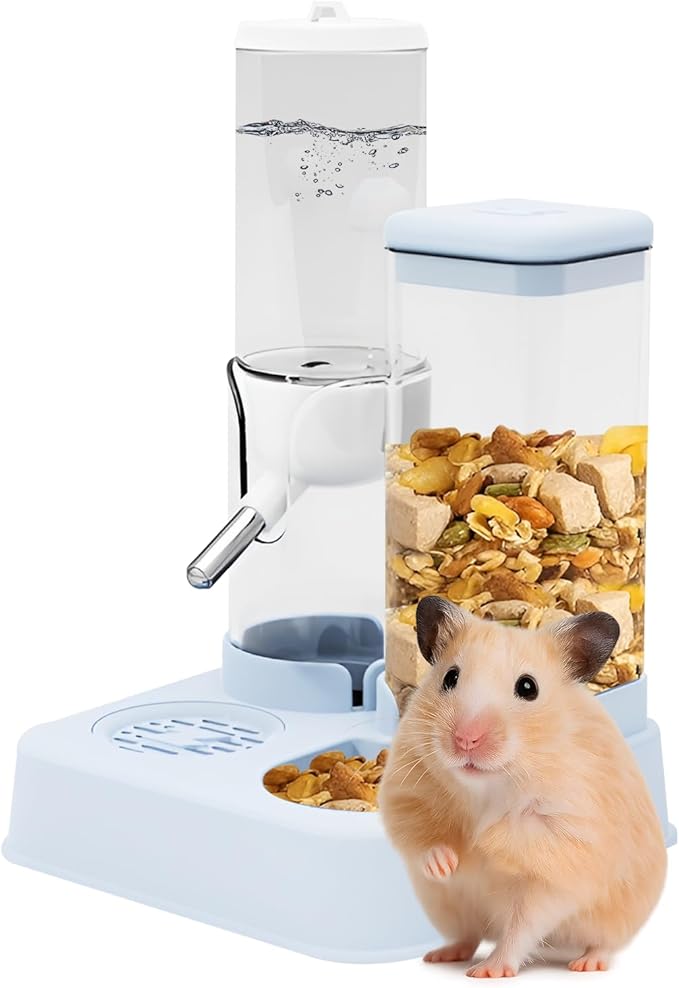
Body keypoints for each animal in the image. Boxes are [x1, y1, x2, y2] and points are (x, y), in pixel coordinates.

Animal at [380, 596, 667, 978]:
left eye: (528, 687)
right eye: (450, 677)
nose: (465, 740)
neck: (490, 786)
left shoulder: (562, 856)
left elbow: (522, 916)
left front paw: (486, 843)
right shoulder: (408, 790)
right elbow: (422, 837)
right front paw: (448, 863)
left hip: (614, 917)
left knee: (592, 942)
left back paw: (580, 964)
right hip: (448, 907)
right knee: (470, 935)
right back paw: (442, 955)